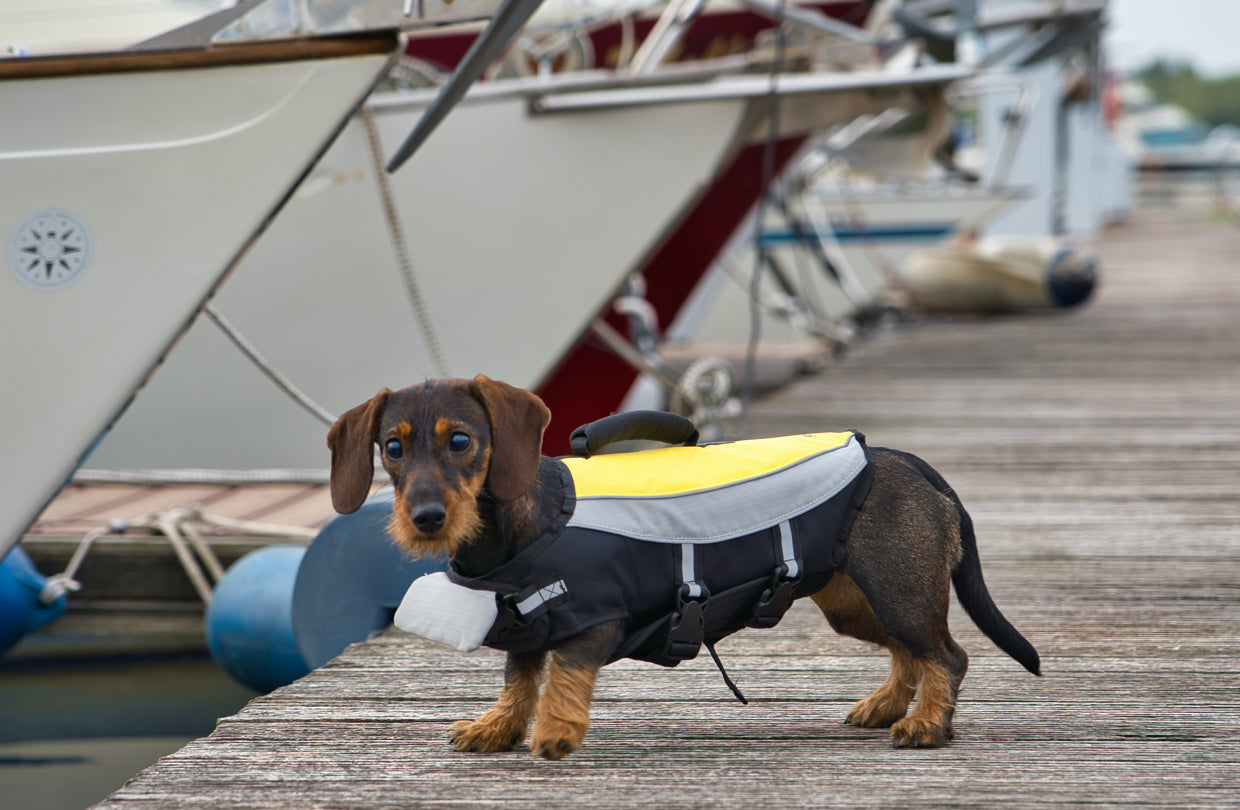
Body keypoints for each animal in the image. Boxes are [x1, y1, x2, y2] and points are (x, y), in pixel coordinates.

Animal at [327, 377, 1036, 754]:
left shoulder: (595, 623)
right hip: (857, 601)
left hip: (899, 590)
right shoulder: (526, 630)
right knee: (909, 653)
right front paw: (497, 726)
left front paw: (555, 732)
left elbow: (563, 679)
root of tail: (907, 461)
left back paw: (926, 724)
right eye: (392, 447)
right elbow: (519, 681)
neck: (516, 536)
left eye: (461, 440)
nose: (425, 518)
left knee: (946, 656)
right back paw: (888, 706)